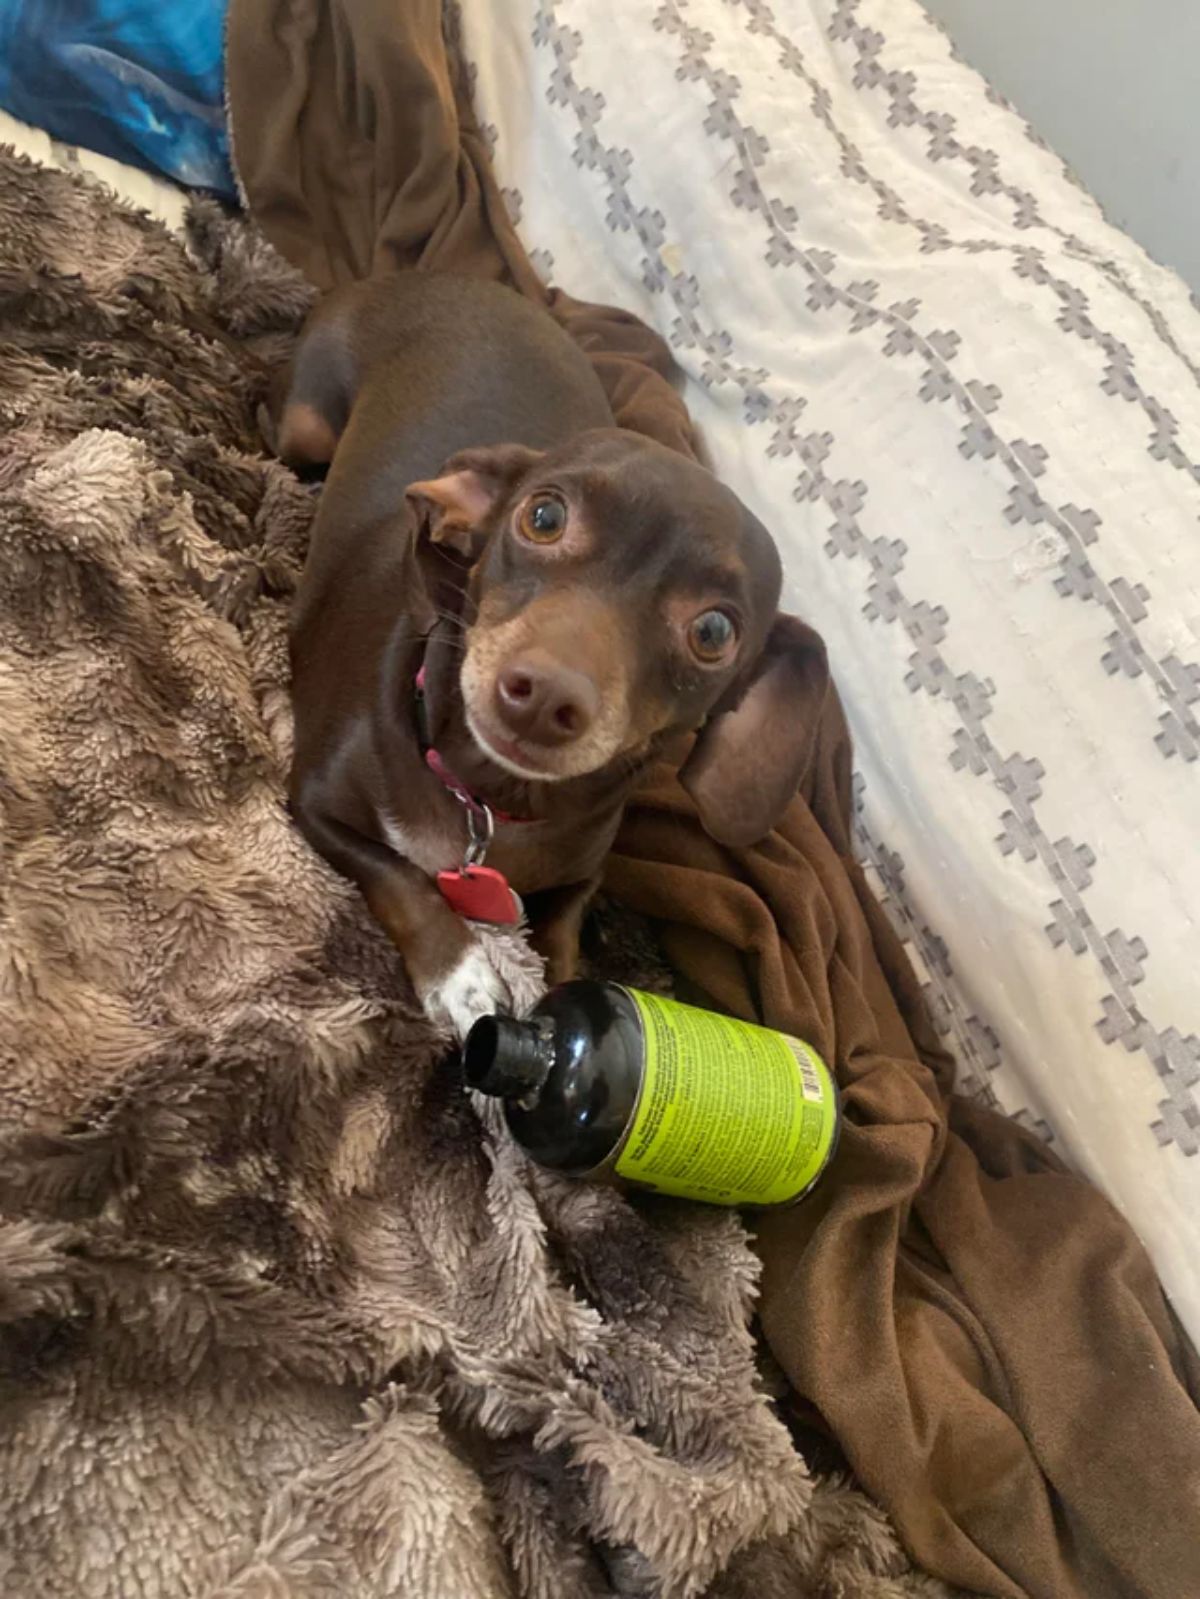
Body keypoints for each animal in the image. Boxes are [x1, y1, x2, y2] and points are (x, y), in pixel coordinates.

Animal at [276, 275, 819, 1036]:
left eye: (714, 632)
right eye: (543, 516)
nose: (544, 696)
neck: (493, 801)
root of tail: (429, 276)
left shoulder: (581, 878)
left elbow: (561, 935)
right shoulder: (311, 804)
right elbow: (398, 872)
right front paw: (461, 972)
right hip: (304, 427)